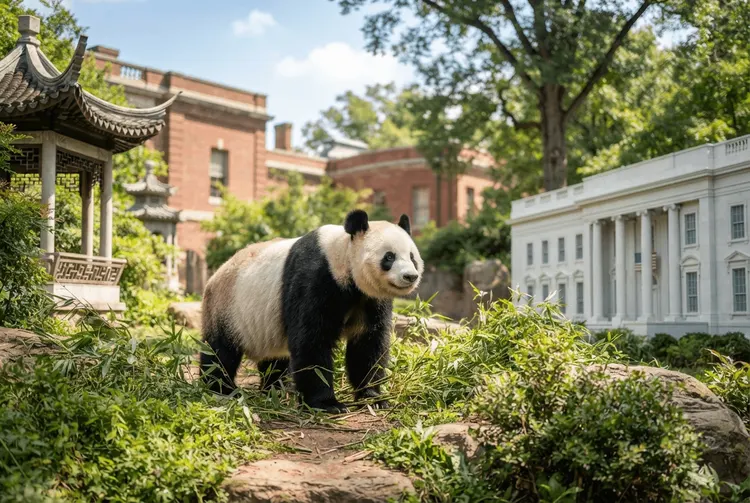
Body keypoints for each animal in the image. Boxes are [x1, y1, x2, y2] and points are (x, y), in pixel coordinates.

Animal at [199, 209, 423, 413]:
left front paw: (373, 398)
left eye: (412, 257)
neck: (343, 256)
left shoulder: (370, 299)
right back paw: (222, 389)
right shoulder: (316, 279)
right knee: (220, 353)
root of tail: (214, 275)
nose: (410, 276)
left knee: (274, 360)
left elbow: (368, 344)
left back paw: (276, 389)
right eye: (389, 257)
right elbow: (312, 339)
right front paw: (327, 404)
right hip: (226, 308)